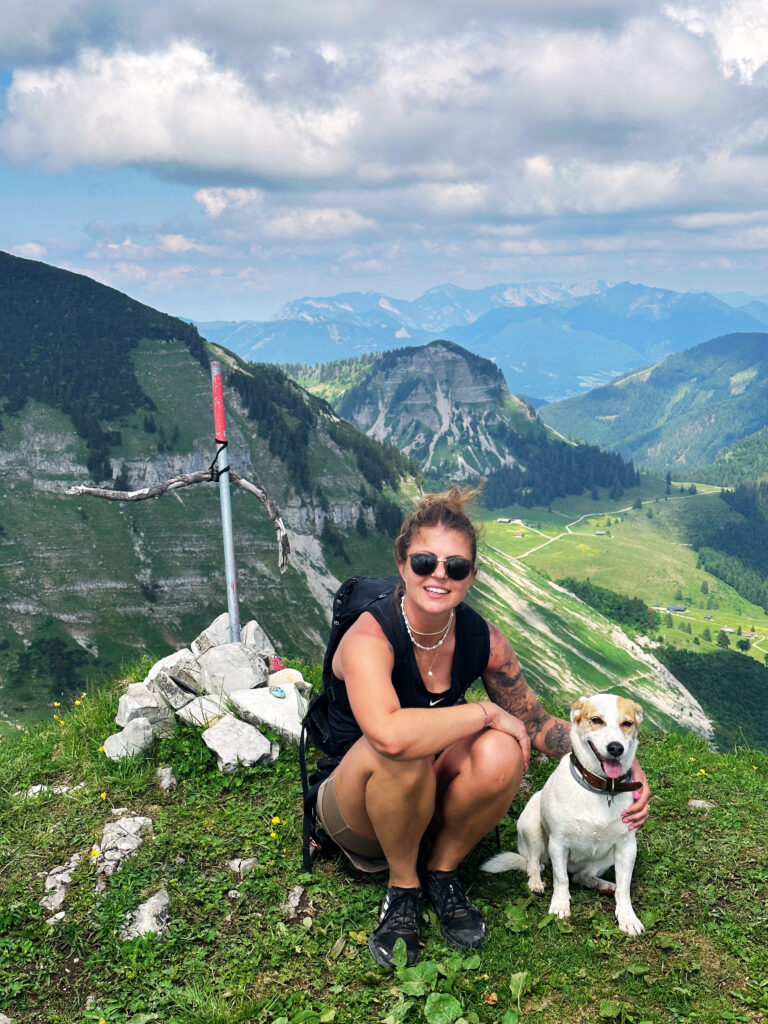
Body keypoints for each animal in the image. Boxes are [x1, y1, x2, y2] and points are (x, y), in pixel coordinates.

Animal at [483, 688, 647, 937]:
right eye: (596, 720)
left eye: (627, 723)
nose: (616, 748)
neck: (601, 788)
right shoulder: (558, 843)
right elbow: (561, 879)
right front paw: (560, 905)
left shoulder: (627, 847)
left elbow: (625, 888)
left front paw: (627, 917)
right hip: (532, 828)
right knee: (533, 863)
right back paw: (536, 882)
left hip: (606, 857)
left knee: (582, 876)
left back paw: (604, 885)